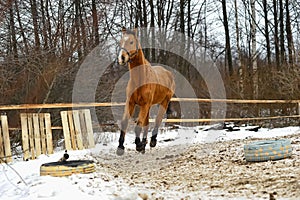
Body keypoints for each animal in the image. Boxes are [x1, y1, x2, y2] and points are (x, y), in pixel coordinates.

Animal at [115, 27, 176, 156]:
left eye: (131, 42)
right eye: (120, 42)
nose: (121, 58)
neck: (140, 78)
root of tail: (168, 73)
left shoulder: (145, 104)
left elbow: (138, 124)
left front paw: (138, 145)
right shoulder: (131, 103)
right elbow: (125, 122)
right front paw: (120, 147)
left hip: (164, 102)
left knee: (157, 120)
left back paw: (152, 141)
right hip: (148, 106)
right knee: (147, 124)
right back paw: (144, 144)